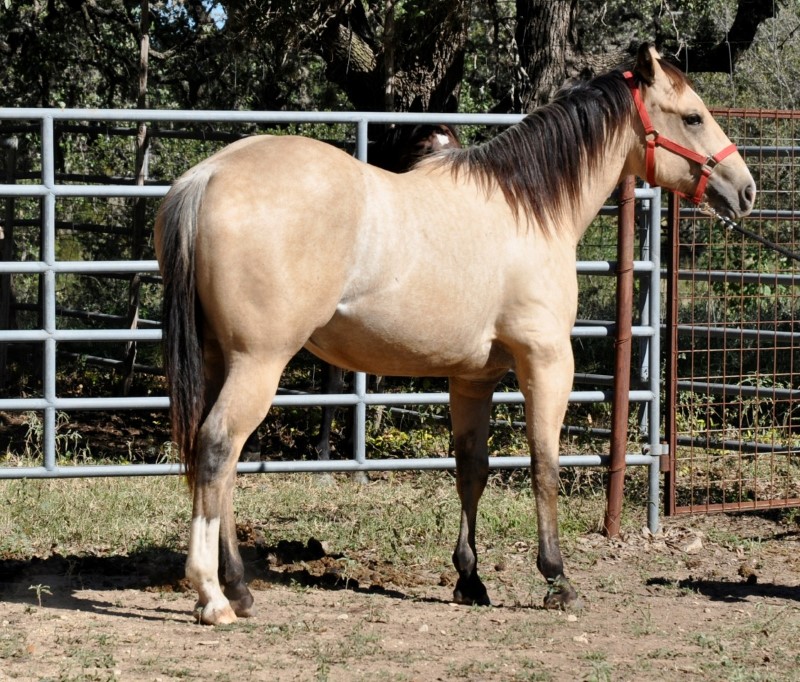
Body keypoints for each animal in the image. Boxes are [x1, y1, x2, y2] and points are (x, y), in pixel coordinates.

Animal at [155, 45, 756, 624]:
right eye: (693, 117)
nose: (746, 190)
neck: (527, 211)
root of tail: (209, 176)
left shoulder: (473, 379)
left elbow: (473, 470)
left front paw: (470, 579)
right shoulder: (546, 363)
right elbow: (544, 467)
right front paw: (557, 579)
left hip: (221, 360)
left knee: (220, 461)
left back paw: (238, 588)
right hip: (259, 361)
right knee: (217, 448)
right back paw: (212, 596)